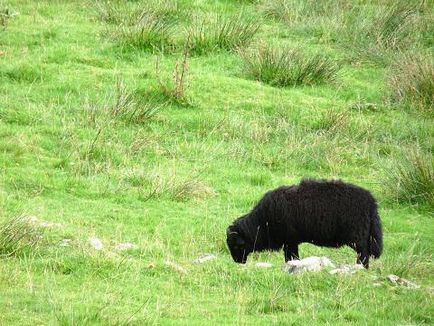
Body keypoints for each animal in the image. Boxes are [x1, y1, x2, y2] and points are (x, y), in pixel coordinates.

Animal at [227, 180, 384, 268]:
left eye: (236, 245)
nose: (237, 262)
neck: (261, 223)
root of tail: (371, 202)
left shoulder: (289, 241)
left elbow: (291, 257)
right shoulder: (291, 241)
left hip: (358, 237)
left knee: (364, 253)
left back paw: (361, 267)